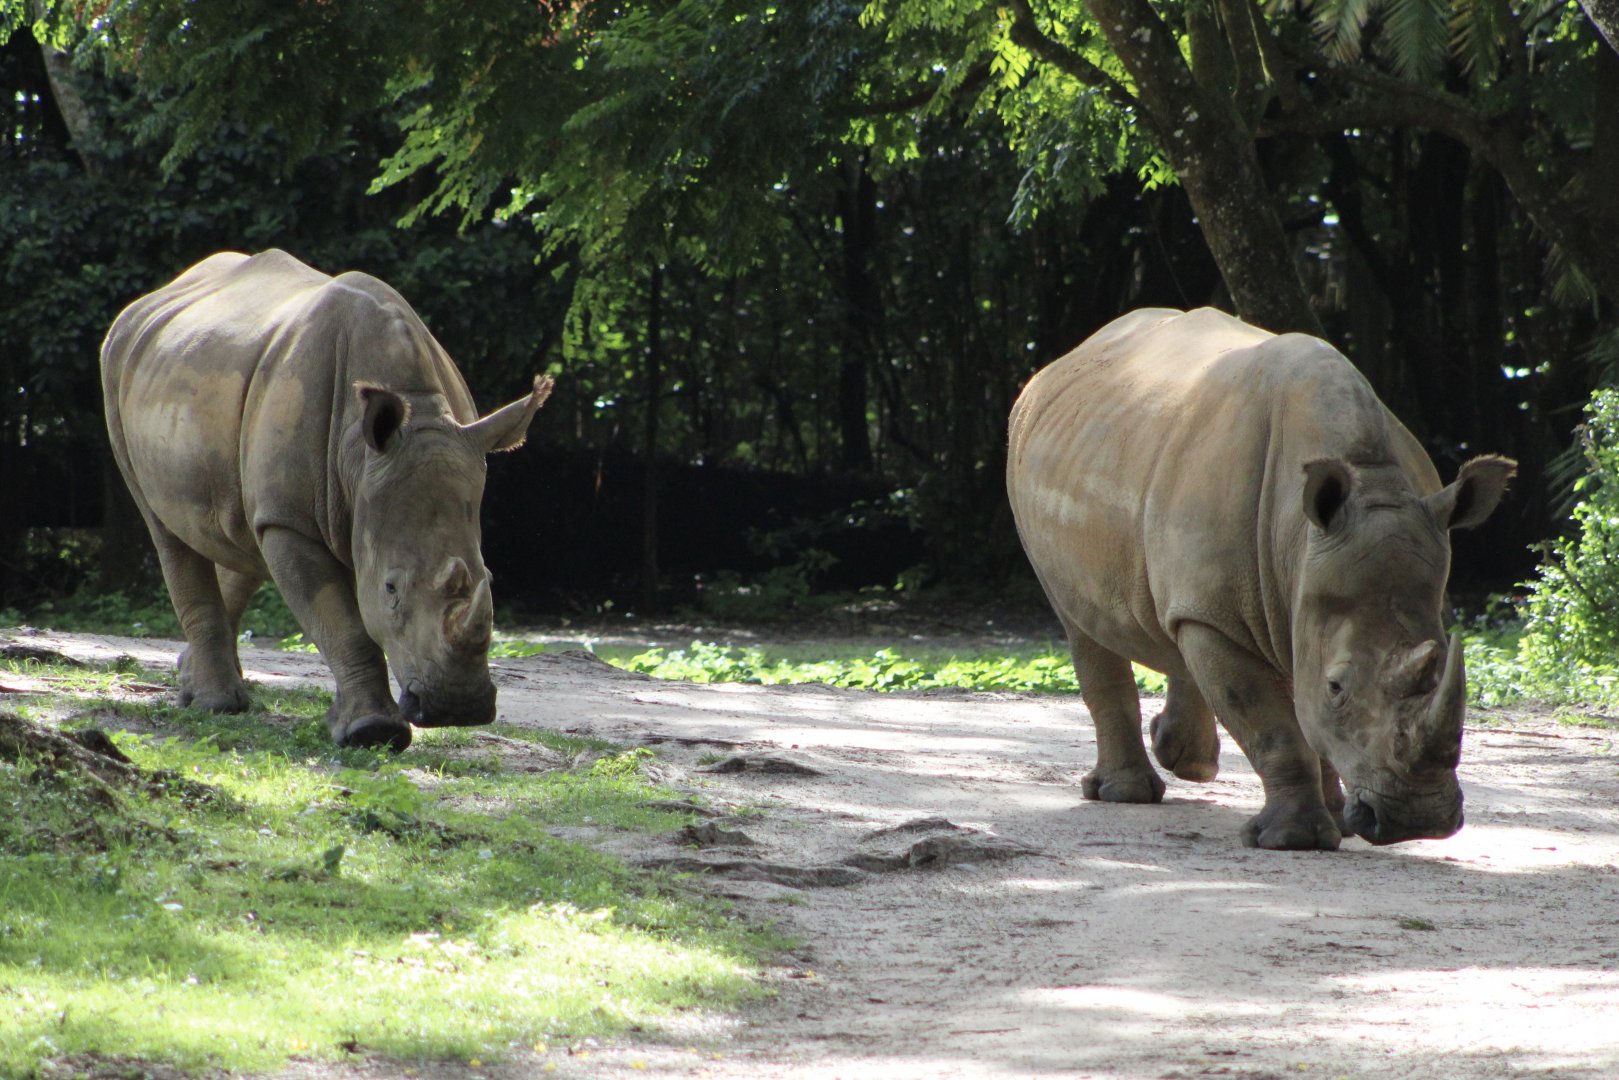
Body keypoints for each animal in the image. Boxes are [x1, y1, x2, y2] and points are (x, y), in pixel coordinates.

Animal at [101, 249, 552, 751]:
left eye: (488, 579)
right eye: (391, 590)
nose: (459, 708)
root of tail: (151, 301)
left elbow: (336, 614)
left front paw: (349, 721)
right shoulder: (291, 522)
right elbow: (342, 623)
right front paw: (371, 732)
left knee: (240, 533)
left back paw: (194, 681)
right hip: (116, 365)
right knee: (167, 530)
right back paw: (216, 705)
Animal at [1007, 307, 1514, 850]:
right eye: (1337, 686)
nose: (1419, 821)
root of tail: (1069, 358)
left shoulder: (1302, 591)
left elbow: (1301, 708)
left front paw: (1336, 822)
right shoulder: (1231, 616)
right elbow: (1272, 724)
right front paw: (1296, 839)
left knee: (1169, 613)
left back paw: (1186, 760)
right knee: (1081, 619)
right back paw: (1126, 793)